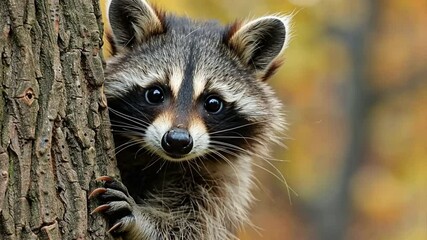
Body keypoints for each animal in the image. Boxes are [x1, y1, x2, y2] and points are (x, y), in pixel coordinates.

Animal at [90, 0, 290, 238]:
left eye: (213, 103)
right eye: (155, 94)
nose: (177, 141)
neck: (160, 160)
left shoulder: (223, 182)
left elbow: (192, 225)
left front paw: (142, 220)